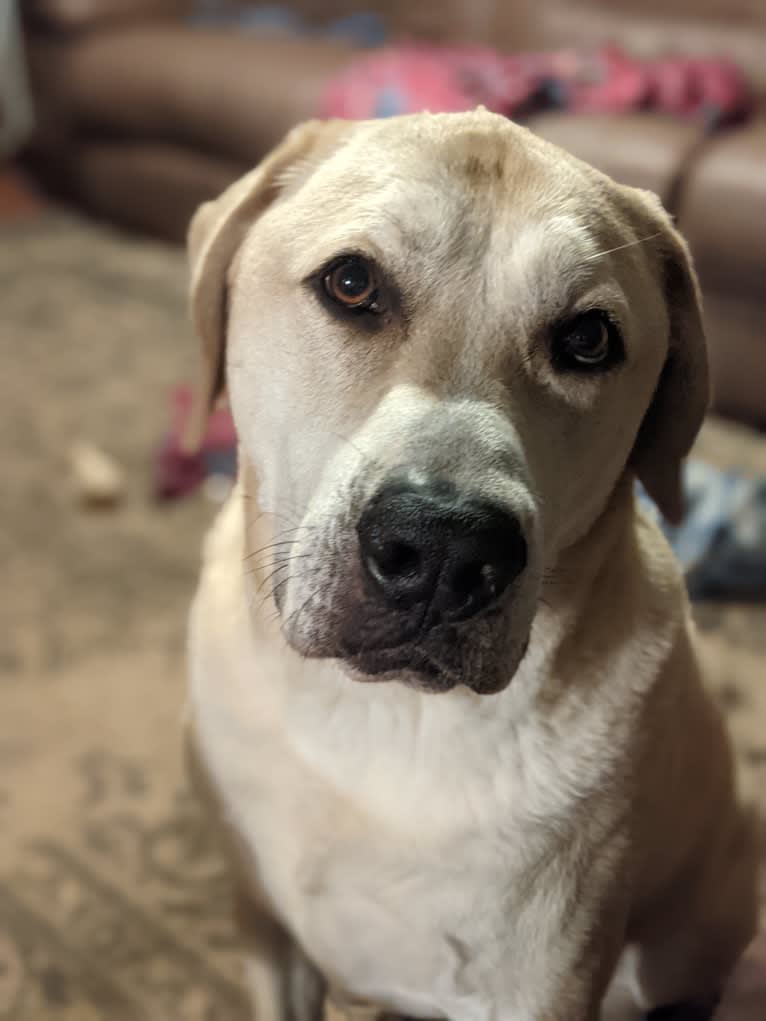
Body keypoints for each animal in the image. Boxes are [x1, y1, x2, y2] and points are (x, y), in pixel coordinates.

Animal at [182, 111, 759, 1021]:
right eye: (352, 283)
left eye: (588, 339)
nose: (445, 551)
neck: (378, 726)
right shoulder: (265, 930)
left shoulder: (546, 982)